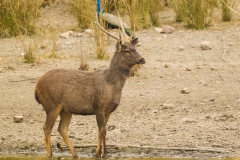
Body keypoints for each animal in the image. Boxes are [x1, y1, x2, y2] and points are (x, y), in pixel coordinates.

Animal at [34, 14, 145, 159]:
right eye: (126, 51)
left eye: (135, 49)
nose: (142, 59)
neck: (111, 85)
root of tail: (36, 86)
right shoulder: (98, 106)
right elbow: (103, 131)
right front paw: (105, 154)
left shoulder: (107, 110)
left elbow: (99, 131)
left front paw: (97, 153)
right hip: (51, 104)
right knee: (47, 128)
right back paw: (50, 154)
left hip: (66, 109)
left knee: (62, 129)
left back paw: (75, 154)